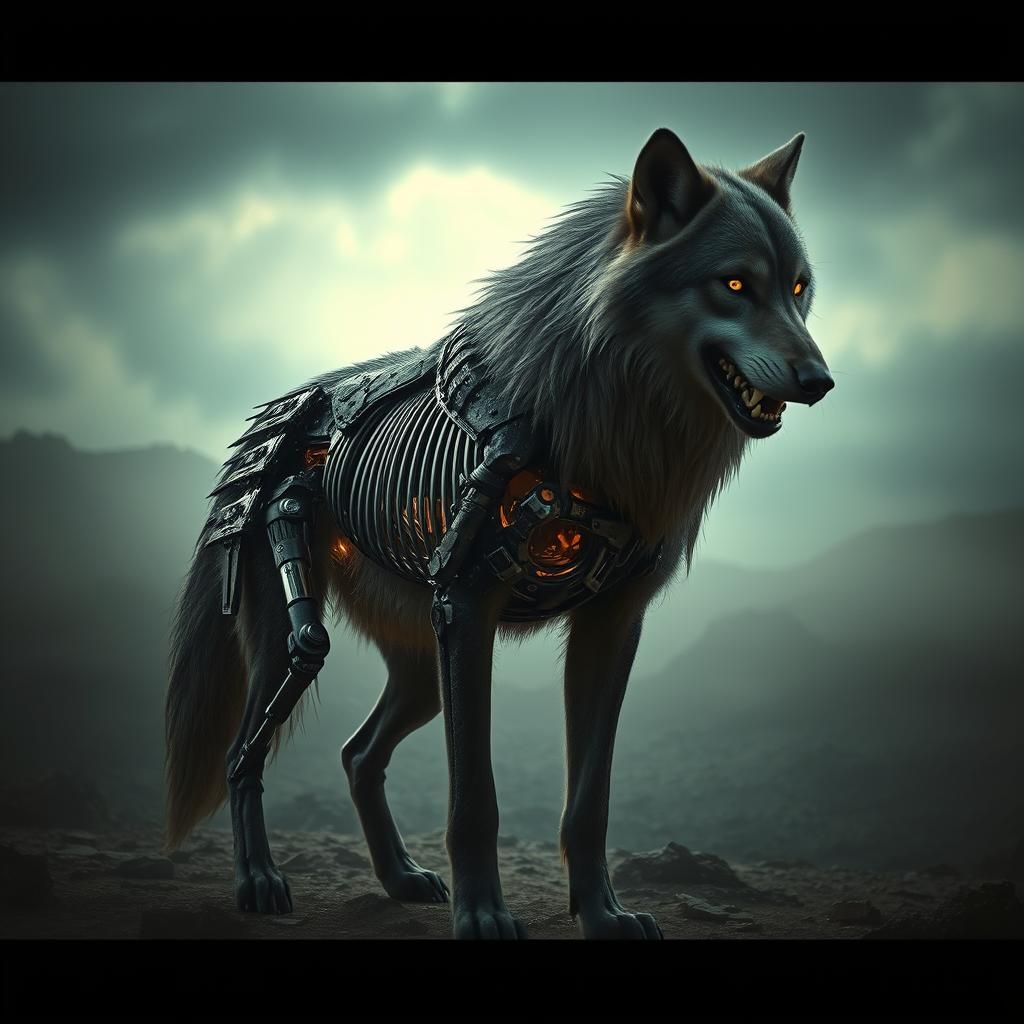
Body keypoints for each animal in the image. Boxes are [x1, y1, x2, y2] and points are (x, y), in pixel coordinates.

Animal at [165, 127, 834, 940]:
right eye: (735, 285)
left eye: (798, 289)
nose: (821, 381)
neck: (601, 425)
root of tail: (284, 405)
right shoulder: (467, 611)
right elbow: (474, 797)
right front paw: (483, 915)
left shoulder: (612, 626)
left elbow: (590, 801)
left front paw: (603, 915)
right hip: (303, 644)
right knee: (248, 745)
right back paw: (258, 880)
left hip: (421, 673)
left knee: (358, 754)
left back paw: (399, 879)